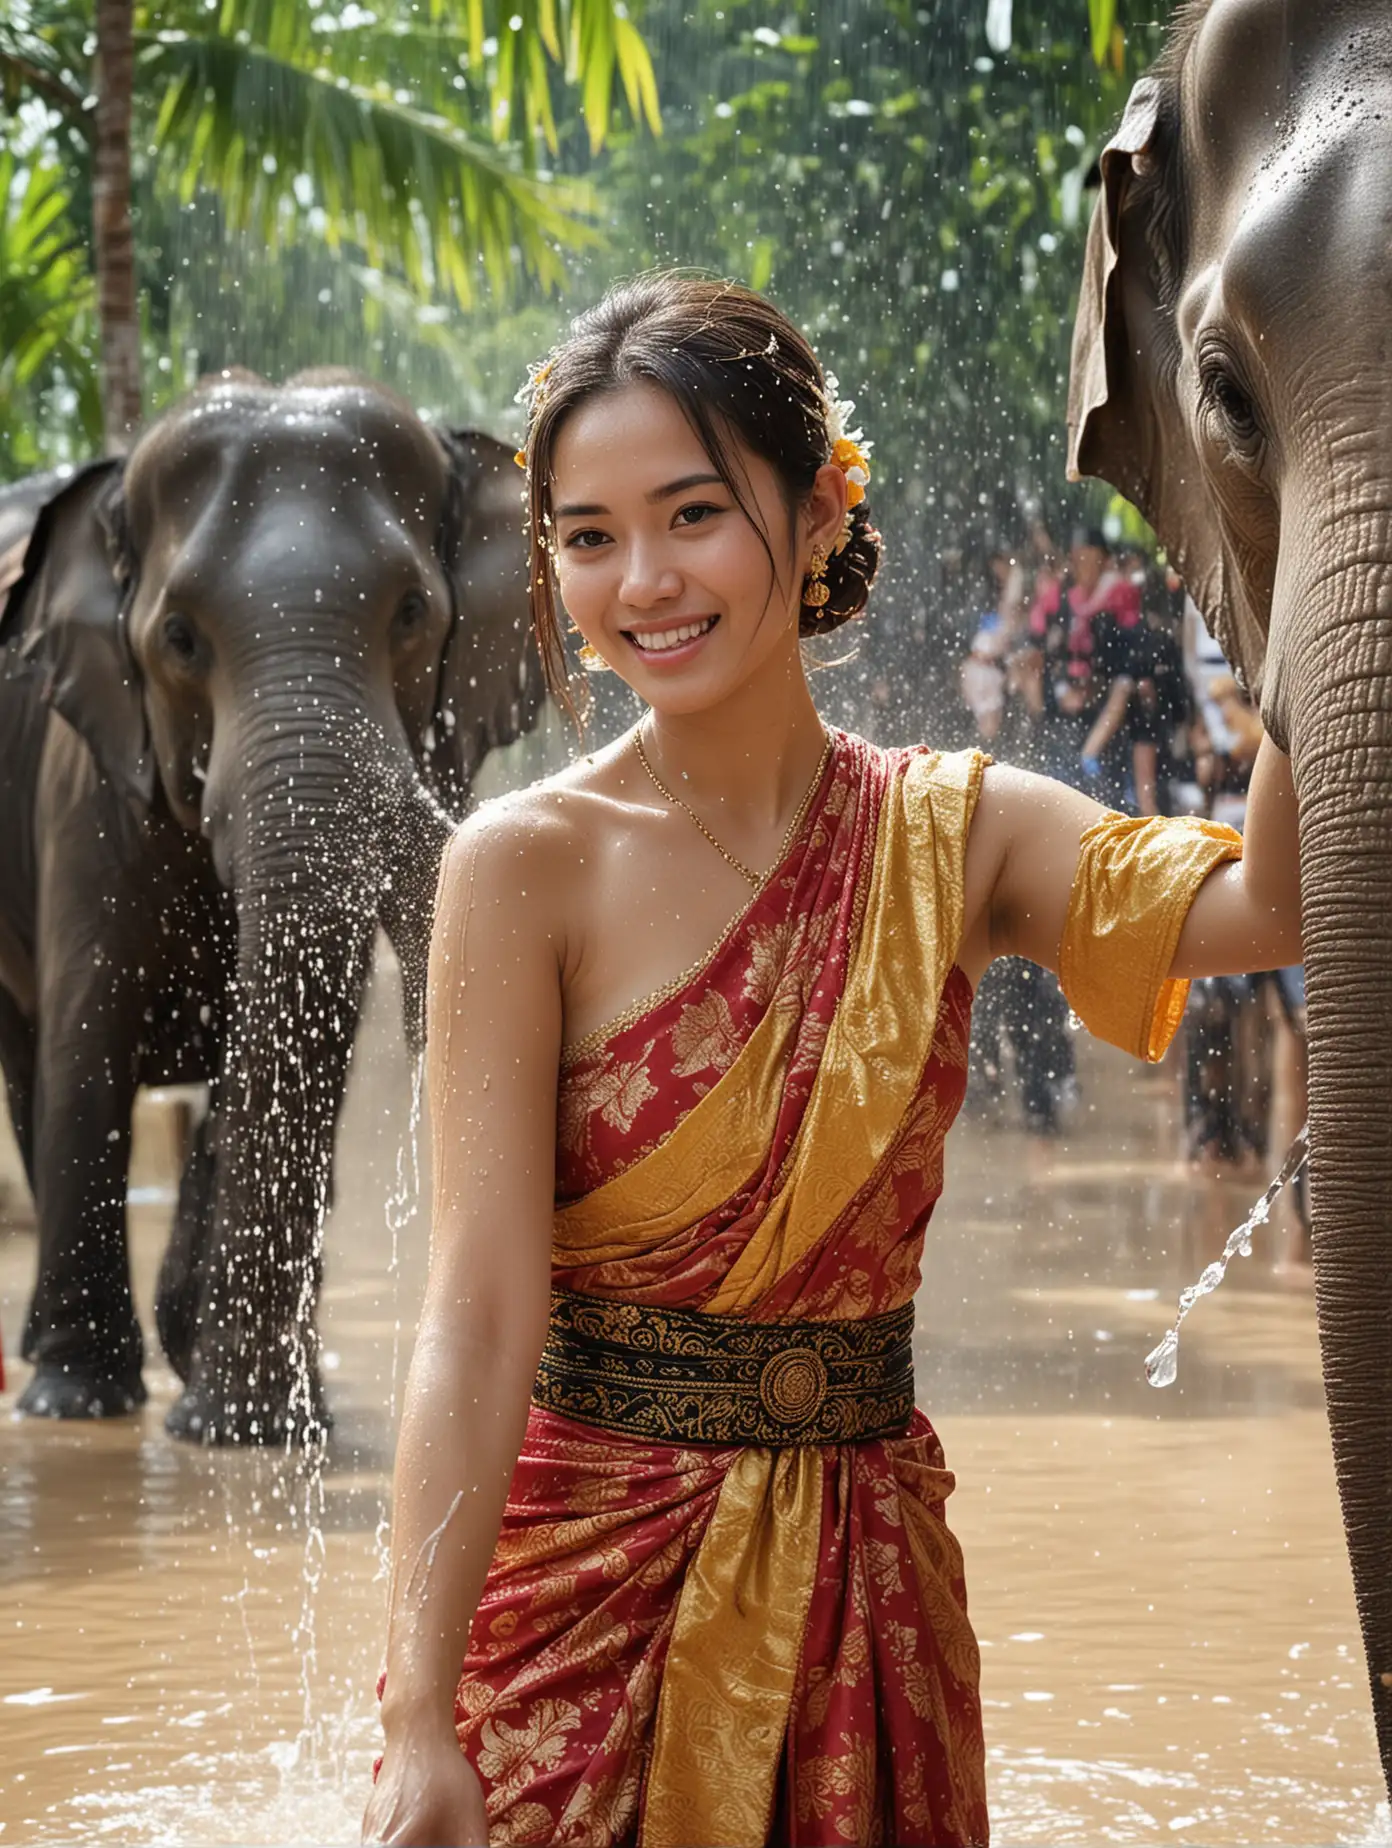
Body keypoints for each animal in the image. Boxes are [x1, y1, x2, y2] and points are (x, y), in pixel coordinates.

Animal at [0, 371, 539, 1441]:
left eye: (411, 613)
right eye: (177, 638)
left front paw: (250, 1422)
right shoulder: (84, 786)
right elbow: (89, 1037)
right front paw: (84, 1404)